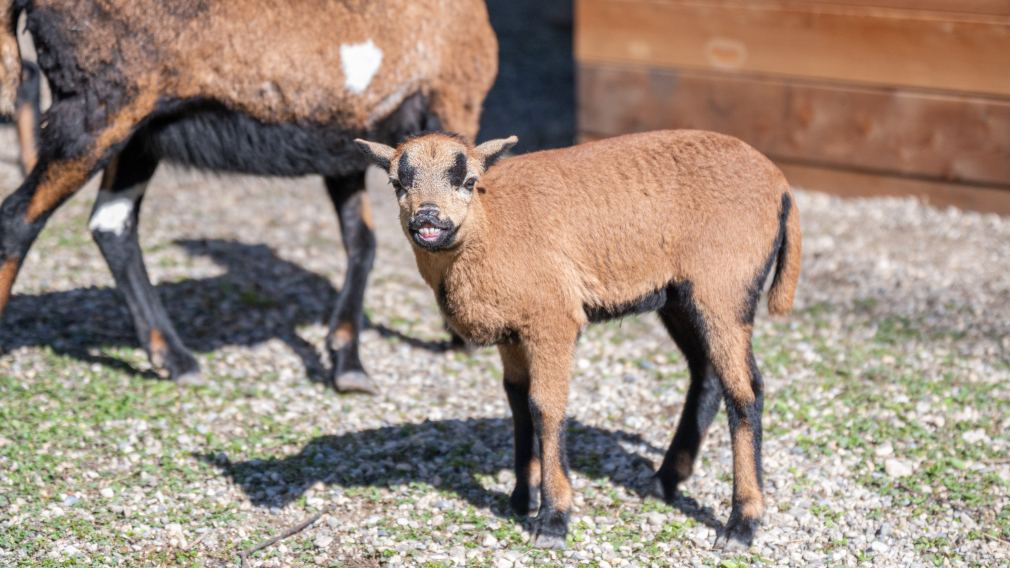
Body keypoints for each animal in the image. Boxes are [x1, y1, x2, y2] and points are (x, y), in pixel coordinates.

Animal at [355, 129, 803, 549]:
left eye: (468, 180)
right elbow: (518, 403)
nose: (429, 219)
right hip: (680, 297)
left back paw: (741, 525)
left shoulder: (553, 319)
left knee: (745, 391)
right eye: (396, 182)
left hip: (724, 287)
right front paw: (522, 497)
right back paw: (664, 482)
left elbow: (545, 407)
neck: (492, 226)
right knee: (707, 376)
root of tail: (781, 184)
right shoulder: (512, 333)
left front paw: (553, 519)